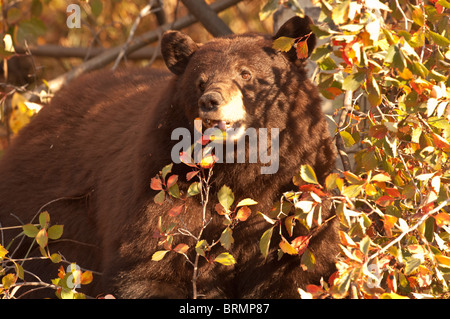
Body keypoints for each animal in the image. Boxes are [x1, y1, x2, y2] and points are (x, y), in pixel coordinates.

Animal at [0, 16, 338, 298]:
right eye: (200, 81)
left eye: (246, 74)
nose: (210, 101)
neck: (240, 170)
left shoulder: (296, 189)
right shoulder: (164, 186)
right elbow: (154, 266)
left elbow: (300, 268)